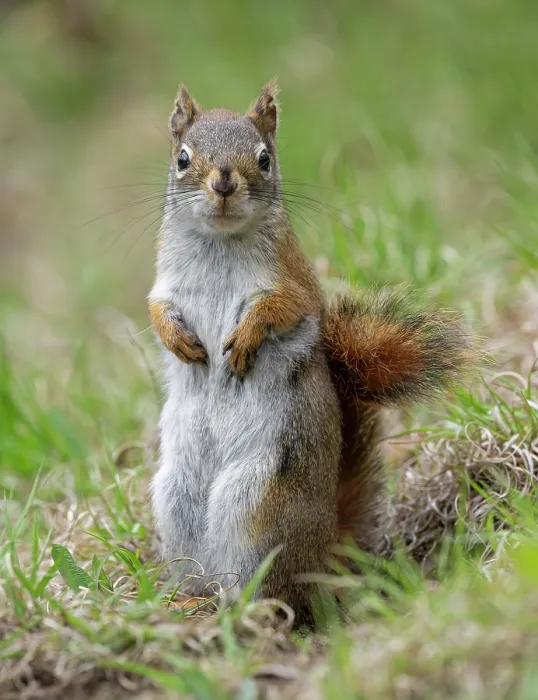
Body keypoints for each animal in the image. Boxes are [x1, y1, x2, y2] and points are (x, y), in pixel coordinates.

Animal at [148, 82, 472, 622]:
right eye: (181, 158)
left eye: (264, 158)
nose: (223, 183)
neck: (220, 242)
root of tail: (325, 555)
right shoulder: (165, 285)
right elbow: (158, 310)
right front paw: (179, 341)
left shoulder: (294, 284)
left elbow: (278, 310)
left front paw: (245, 340)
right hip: (176, 502)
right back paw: (189, 601)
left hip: (258, 504)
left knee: (276, 592)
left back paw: (243, 611)